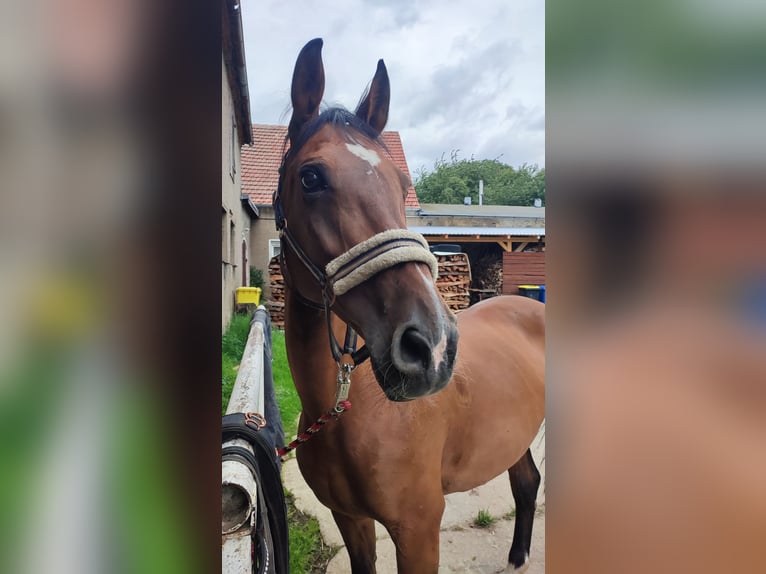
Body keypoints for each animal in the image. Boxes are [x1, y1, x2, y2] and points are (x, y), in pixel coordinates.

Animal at [274, 38, 545, 573]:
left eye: (401, 184)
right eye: (311, 177)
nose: (431, 348)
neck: (347, 410)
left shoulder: (418, 531)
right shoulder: (351, 521)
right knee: (526, 482)